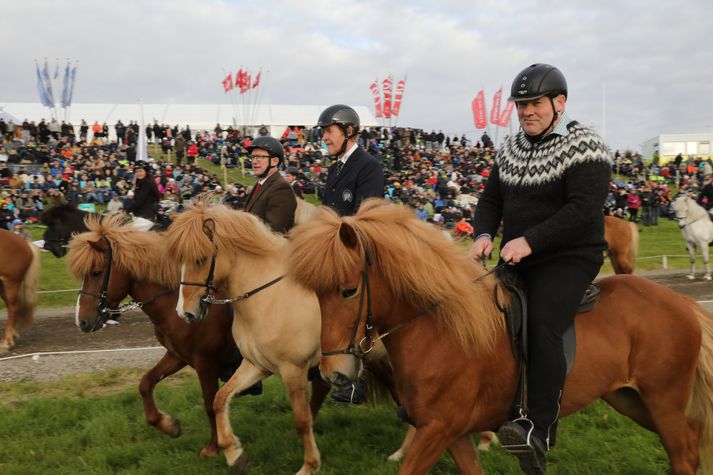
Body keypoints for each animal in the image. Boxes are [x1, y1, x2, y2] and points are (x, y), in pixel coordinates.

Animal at [286, 199, 712, 474]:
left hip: (663, 400)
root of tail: (683, 302)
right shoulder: (451, 434)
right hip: (632, 399)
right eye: (315, 293)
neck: (442, 330)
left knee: (684, 456)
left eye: (348, 291)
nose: (334, 374)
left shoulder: (436, 429)